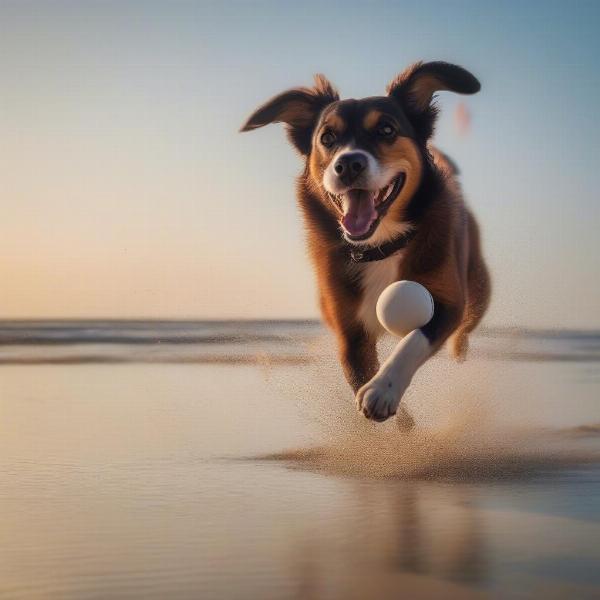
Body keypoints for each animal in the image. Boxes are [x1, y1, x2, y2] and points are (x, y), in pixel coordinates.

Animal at [241, 62, 490, 422]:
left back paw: (459, 352)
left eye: (386, 130)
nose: (348, 164)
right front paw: (400, 418)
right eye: (327, 138)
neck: (380, 246)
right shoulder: (348, 331)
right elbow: (357, 370)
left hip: (479, 290)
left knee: (465, 330)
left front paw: (383, 389)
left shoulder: (447, 302)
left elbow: (414, 340)